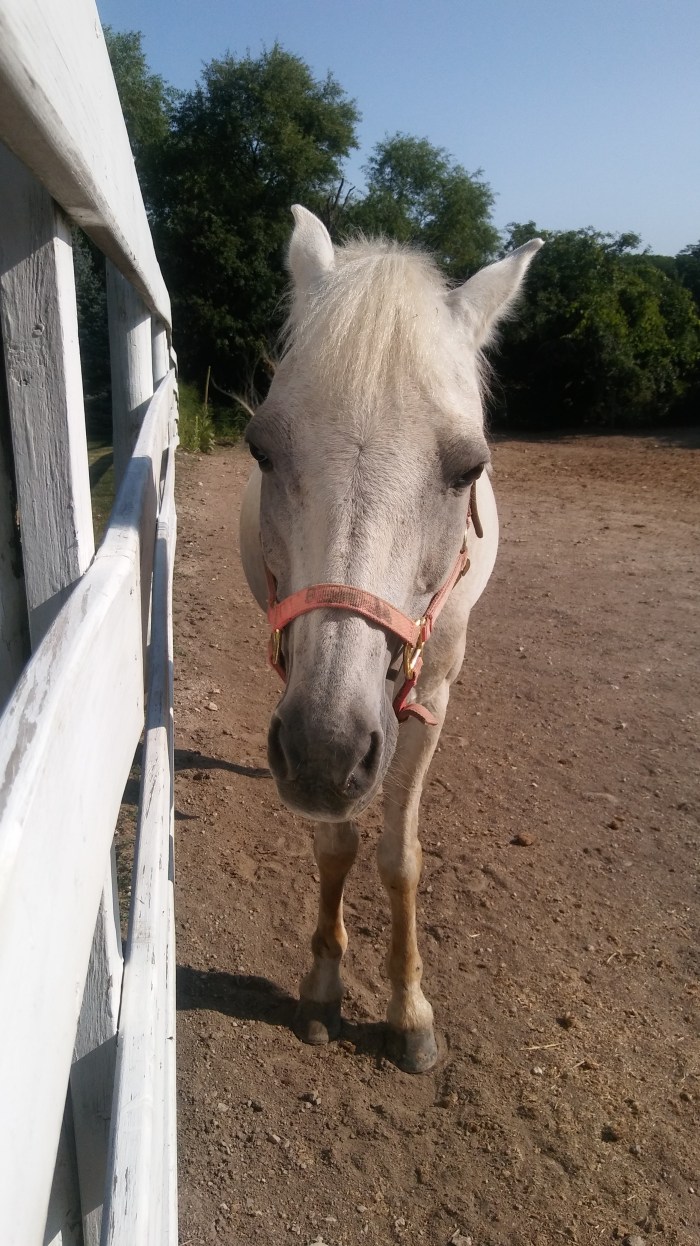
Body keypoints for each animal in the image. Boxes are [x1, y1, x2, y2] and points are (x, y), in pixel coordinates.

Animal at [239, 206, 542, 1072]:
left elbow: (399, 859)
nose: (325, 751)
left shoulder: (432, 692)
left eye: (468, 468)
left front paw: (410, 1013)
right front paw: (322, 989)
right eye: (261, 448)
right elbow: (336, 847)